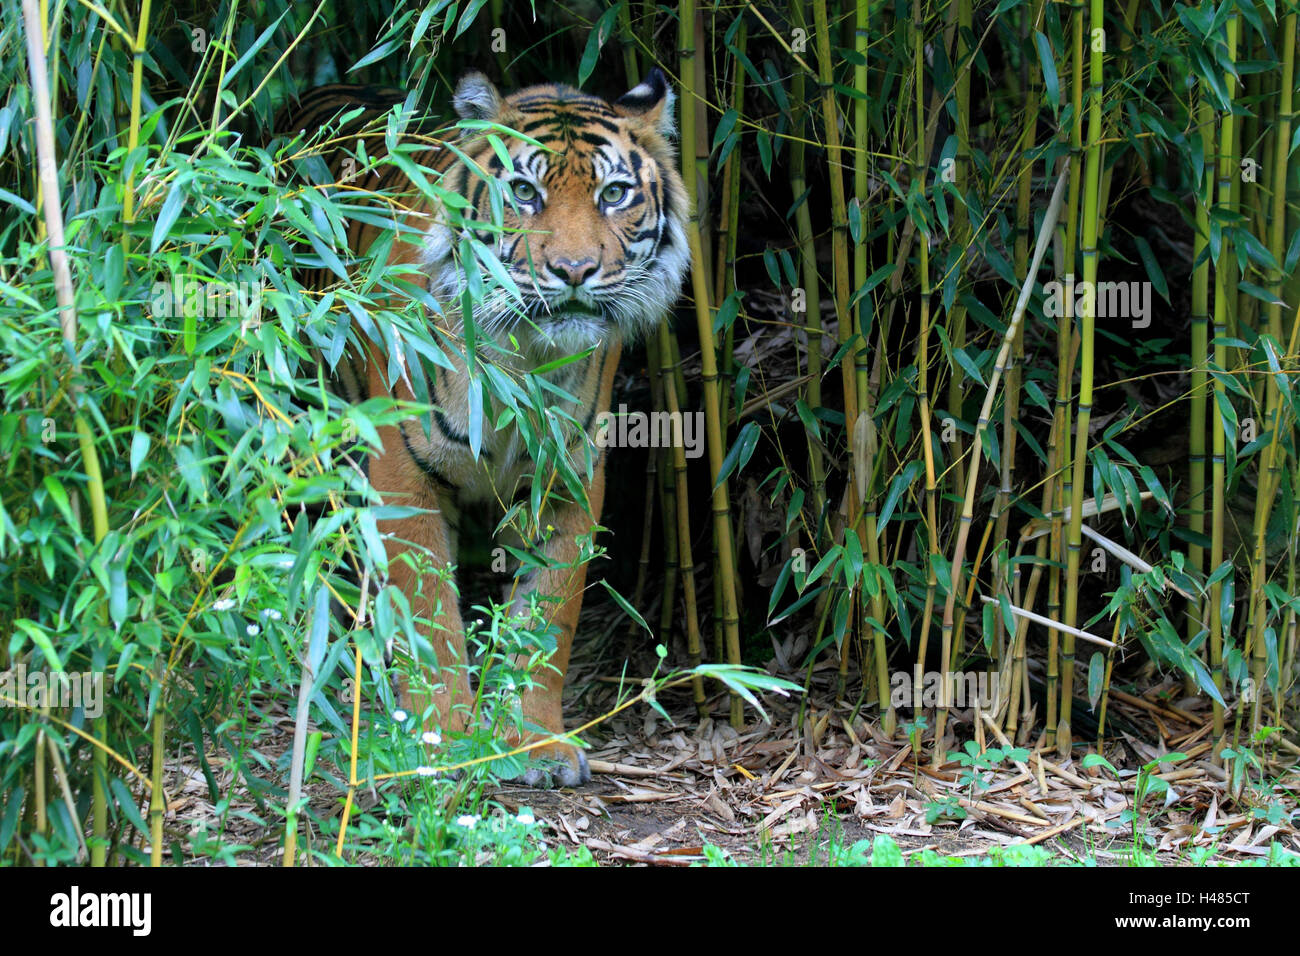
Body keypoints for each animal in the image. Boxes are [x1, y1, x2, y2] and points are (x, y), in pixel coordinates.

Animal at [278, 67, 691, 785]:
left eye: (614, 194)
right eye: (524, 192)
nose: (574, 272)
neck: (523, 356)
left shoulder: (568, 477)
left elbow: (550, 613)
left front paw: (534, 741)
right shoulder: (403, 472)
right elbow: (428, 615)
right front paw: (442, 738)